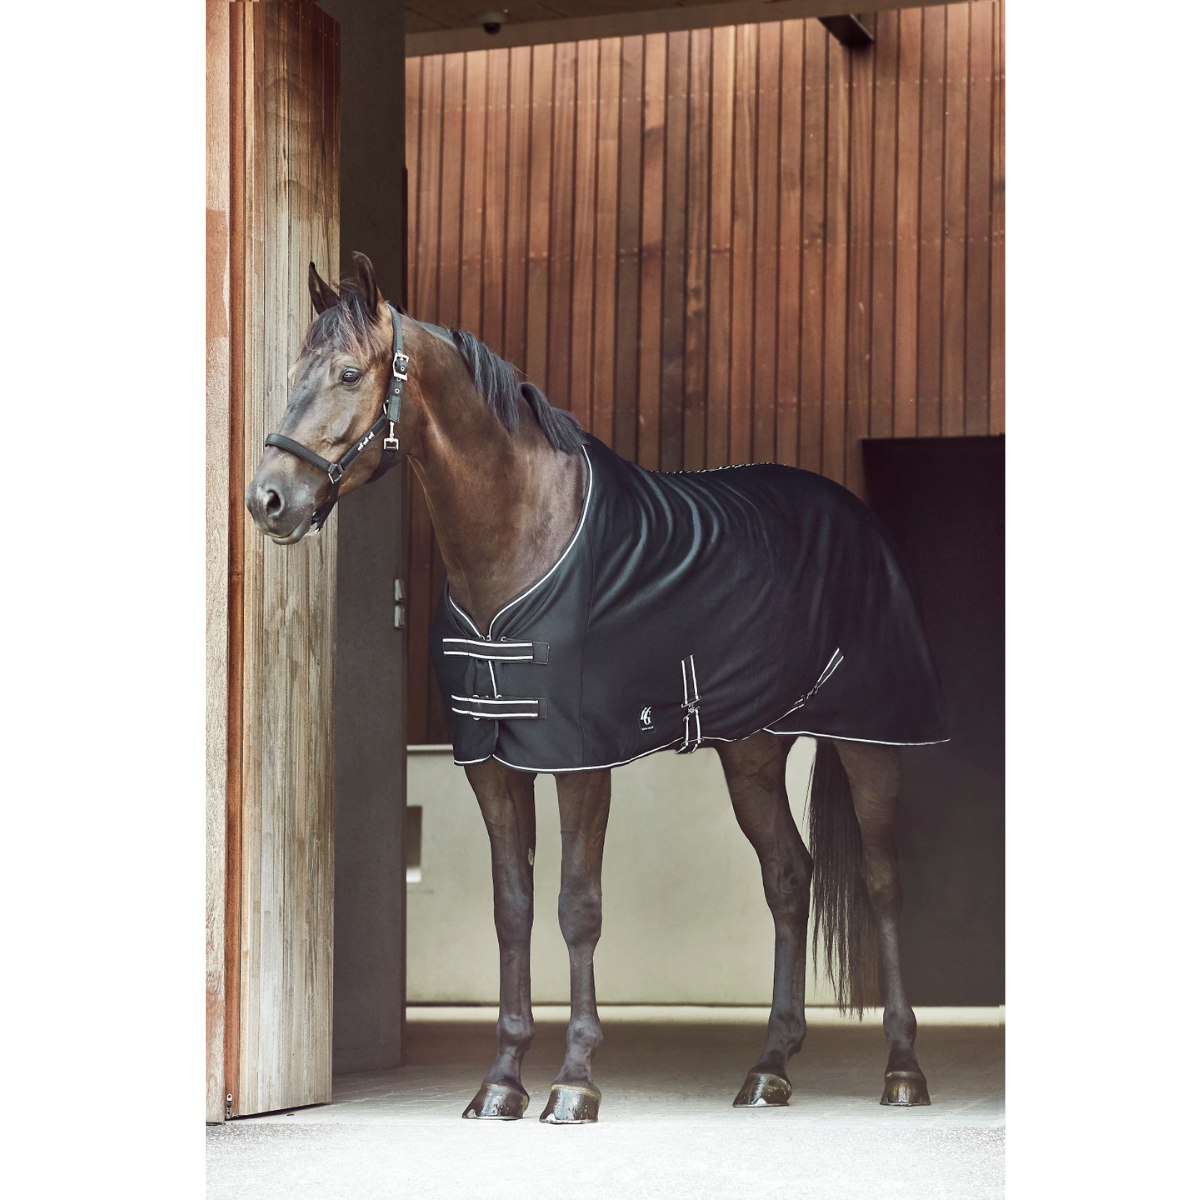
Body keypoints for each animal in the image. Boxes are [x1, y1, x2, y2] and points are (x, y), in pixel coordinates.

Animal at [247, 252, 945, 1124]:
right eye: (291, 375)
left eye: (348, 373)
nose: (268, 500)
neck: (521, 538)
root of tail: (857, 518)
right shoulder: (492, 762)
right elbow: (513, 908)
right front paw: (501, 1081)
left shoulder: (581, 762)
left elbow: (577, 908)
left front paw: (574, 1082)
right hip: (751, 752)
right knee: (788, 878)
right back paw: (769, 1069)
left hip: (870, 739)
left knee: (883, 884)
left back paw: (903, 1068)